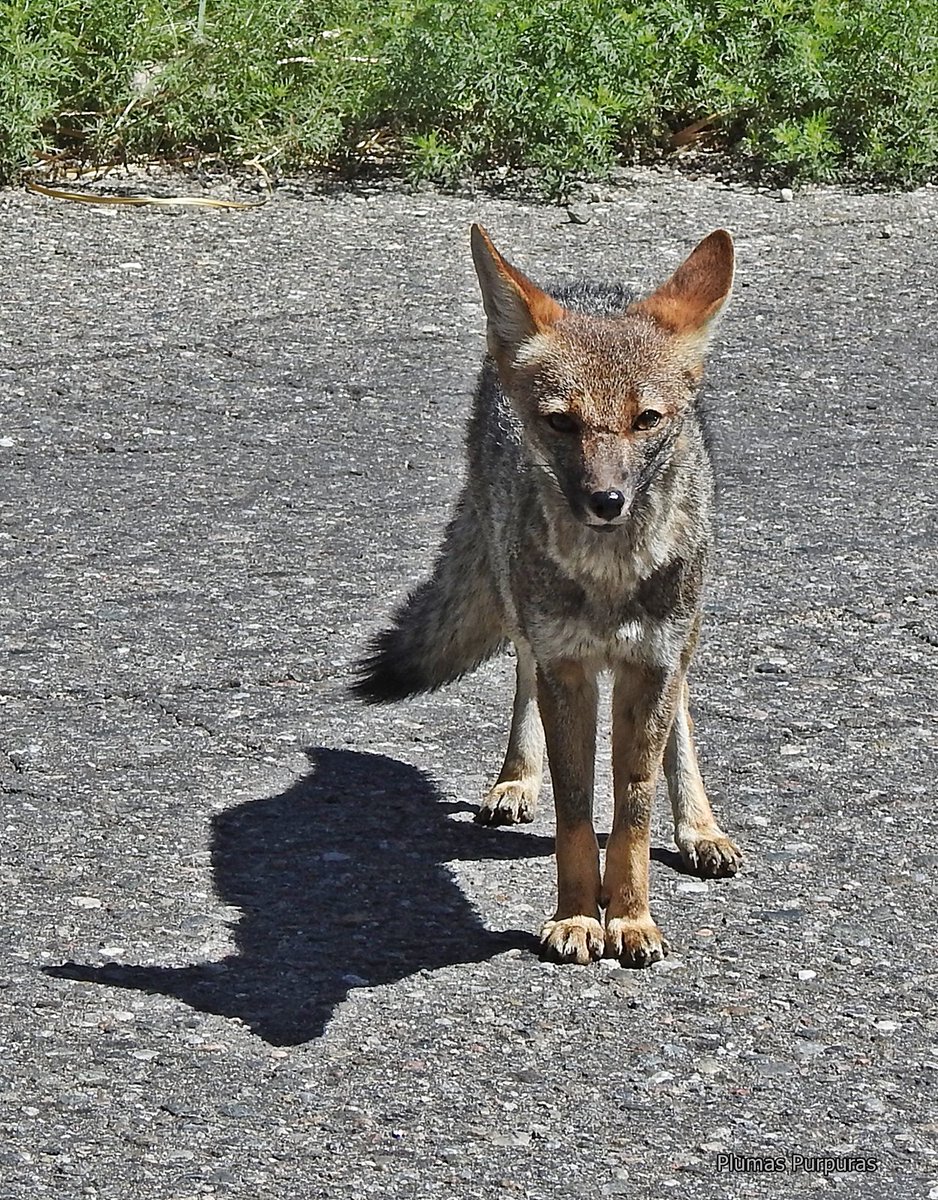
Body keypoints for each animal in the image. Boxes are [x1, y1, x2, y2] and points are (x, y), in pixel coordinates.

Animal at [353, 225, 742, 967]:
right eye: (562, 422)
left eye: (645, 419)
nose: (606, 501)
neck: (609, 578)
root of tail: (588, 284)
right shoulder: (568, 665)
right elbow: (576, 815)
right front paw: (579, 917)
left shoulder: (650, 664)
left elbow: (631, 814)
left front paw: (632, 918)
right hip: (521, 607)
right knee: (522, 677)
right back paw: (515, 778)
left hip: (681, 635)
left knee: (680, 714)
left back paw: (700, 828)